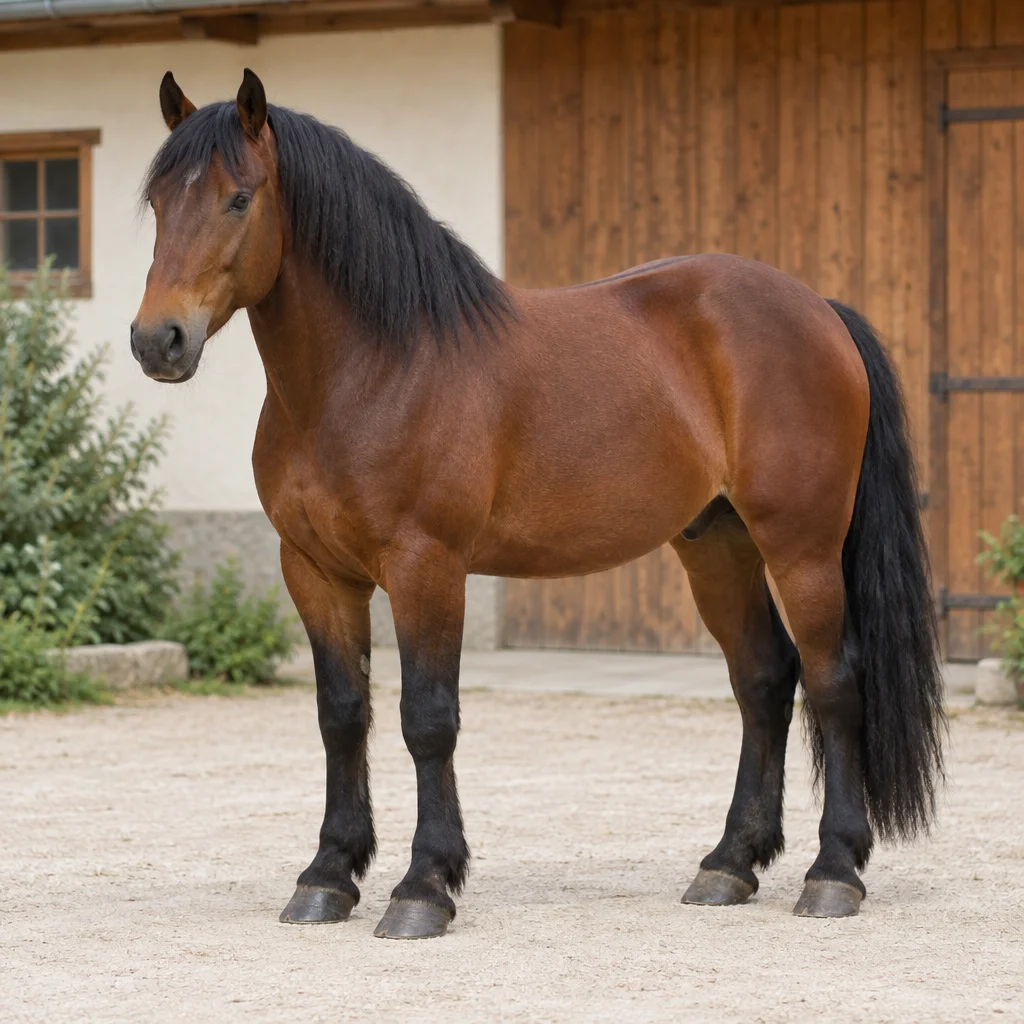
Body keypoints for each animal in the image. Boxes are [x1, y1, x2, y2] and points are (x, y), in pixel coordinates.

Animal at [131, 68, 946, 939]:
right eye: (158, 202)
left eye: (238, 199)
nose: (158, 340)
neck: (371, 372)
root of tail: (821, 311)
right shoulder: (315, 571)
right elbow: (342, 715)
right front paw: (327, 875)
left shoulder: (426, 567)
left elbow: (428, 719)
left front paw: (423, 886)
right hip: (717, 546)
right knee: (763, 680)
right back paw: (728, 864)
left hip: (802, 546)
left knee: (833, 682)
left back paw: (833, 873)